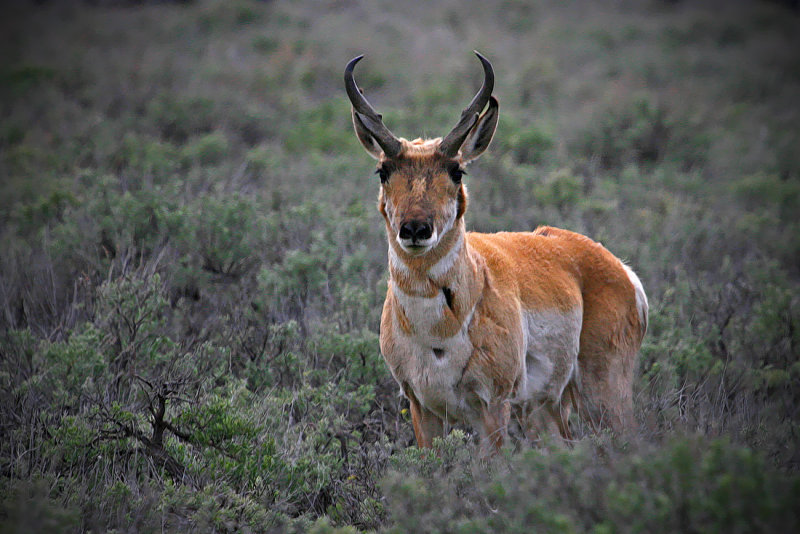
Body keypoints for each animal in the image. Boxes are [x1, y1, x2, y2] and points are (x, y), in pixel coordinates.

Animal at [346, 52, 648, 454]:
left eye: (456, 170)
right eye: (382, 170)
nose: (415, 229)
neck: (438, 332)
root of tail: (619, 269)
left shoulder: (493, 407)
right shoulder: (422, 409)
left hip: (603, 394)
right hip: (545, 409)